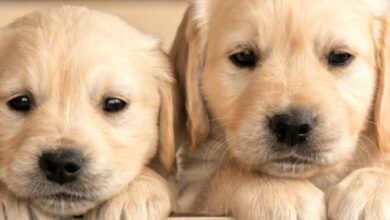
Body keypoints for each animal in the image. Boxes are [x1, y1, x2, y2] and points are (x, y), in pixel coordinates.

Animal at [172, 0, 390, 219]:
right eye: (243, 56)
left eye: (339, 56)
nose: (292, 127)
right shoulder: (191, 184)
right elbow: (227, 174)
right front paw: (280, 191)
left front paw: (373, 189)